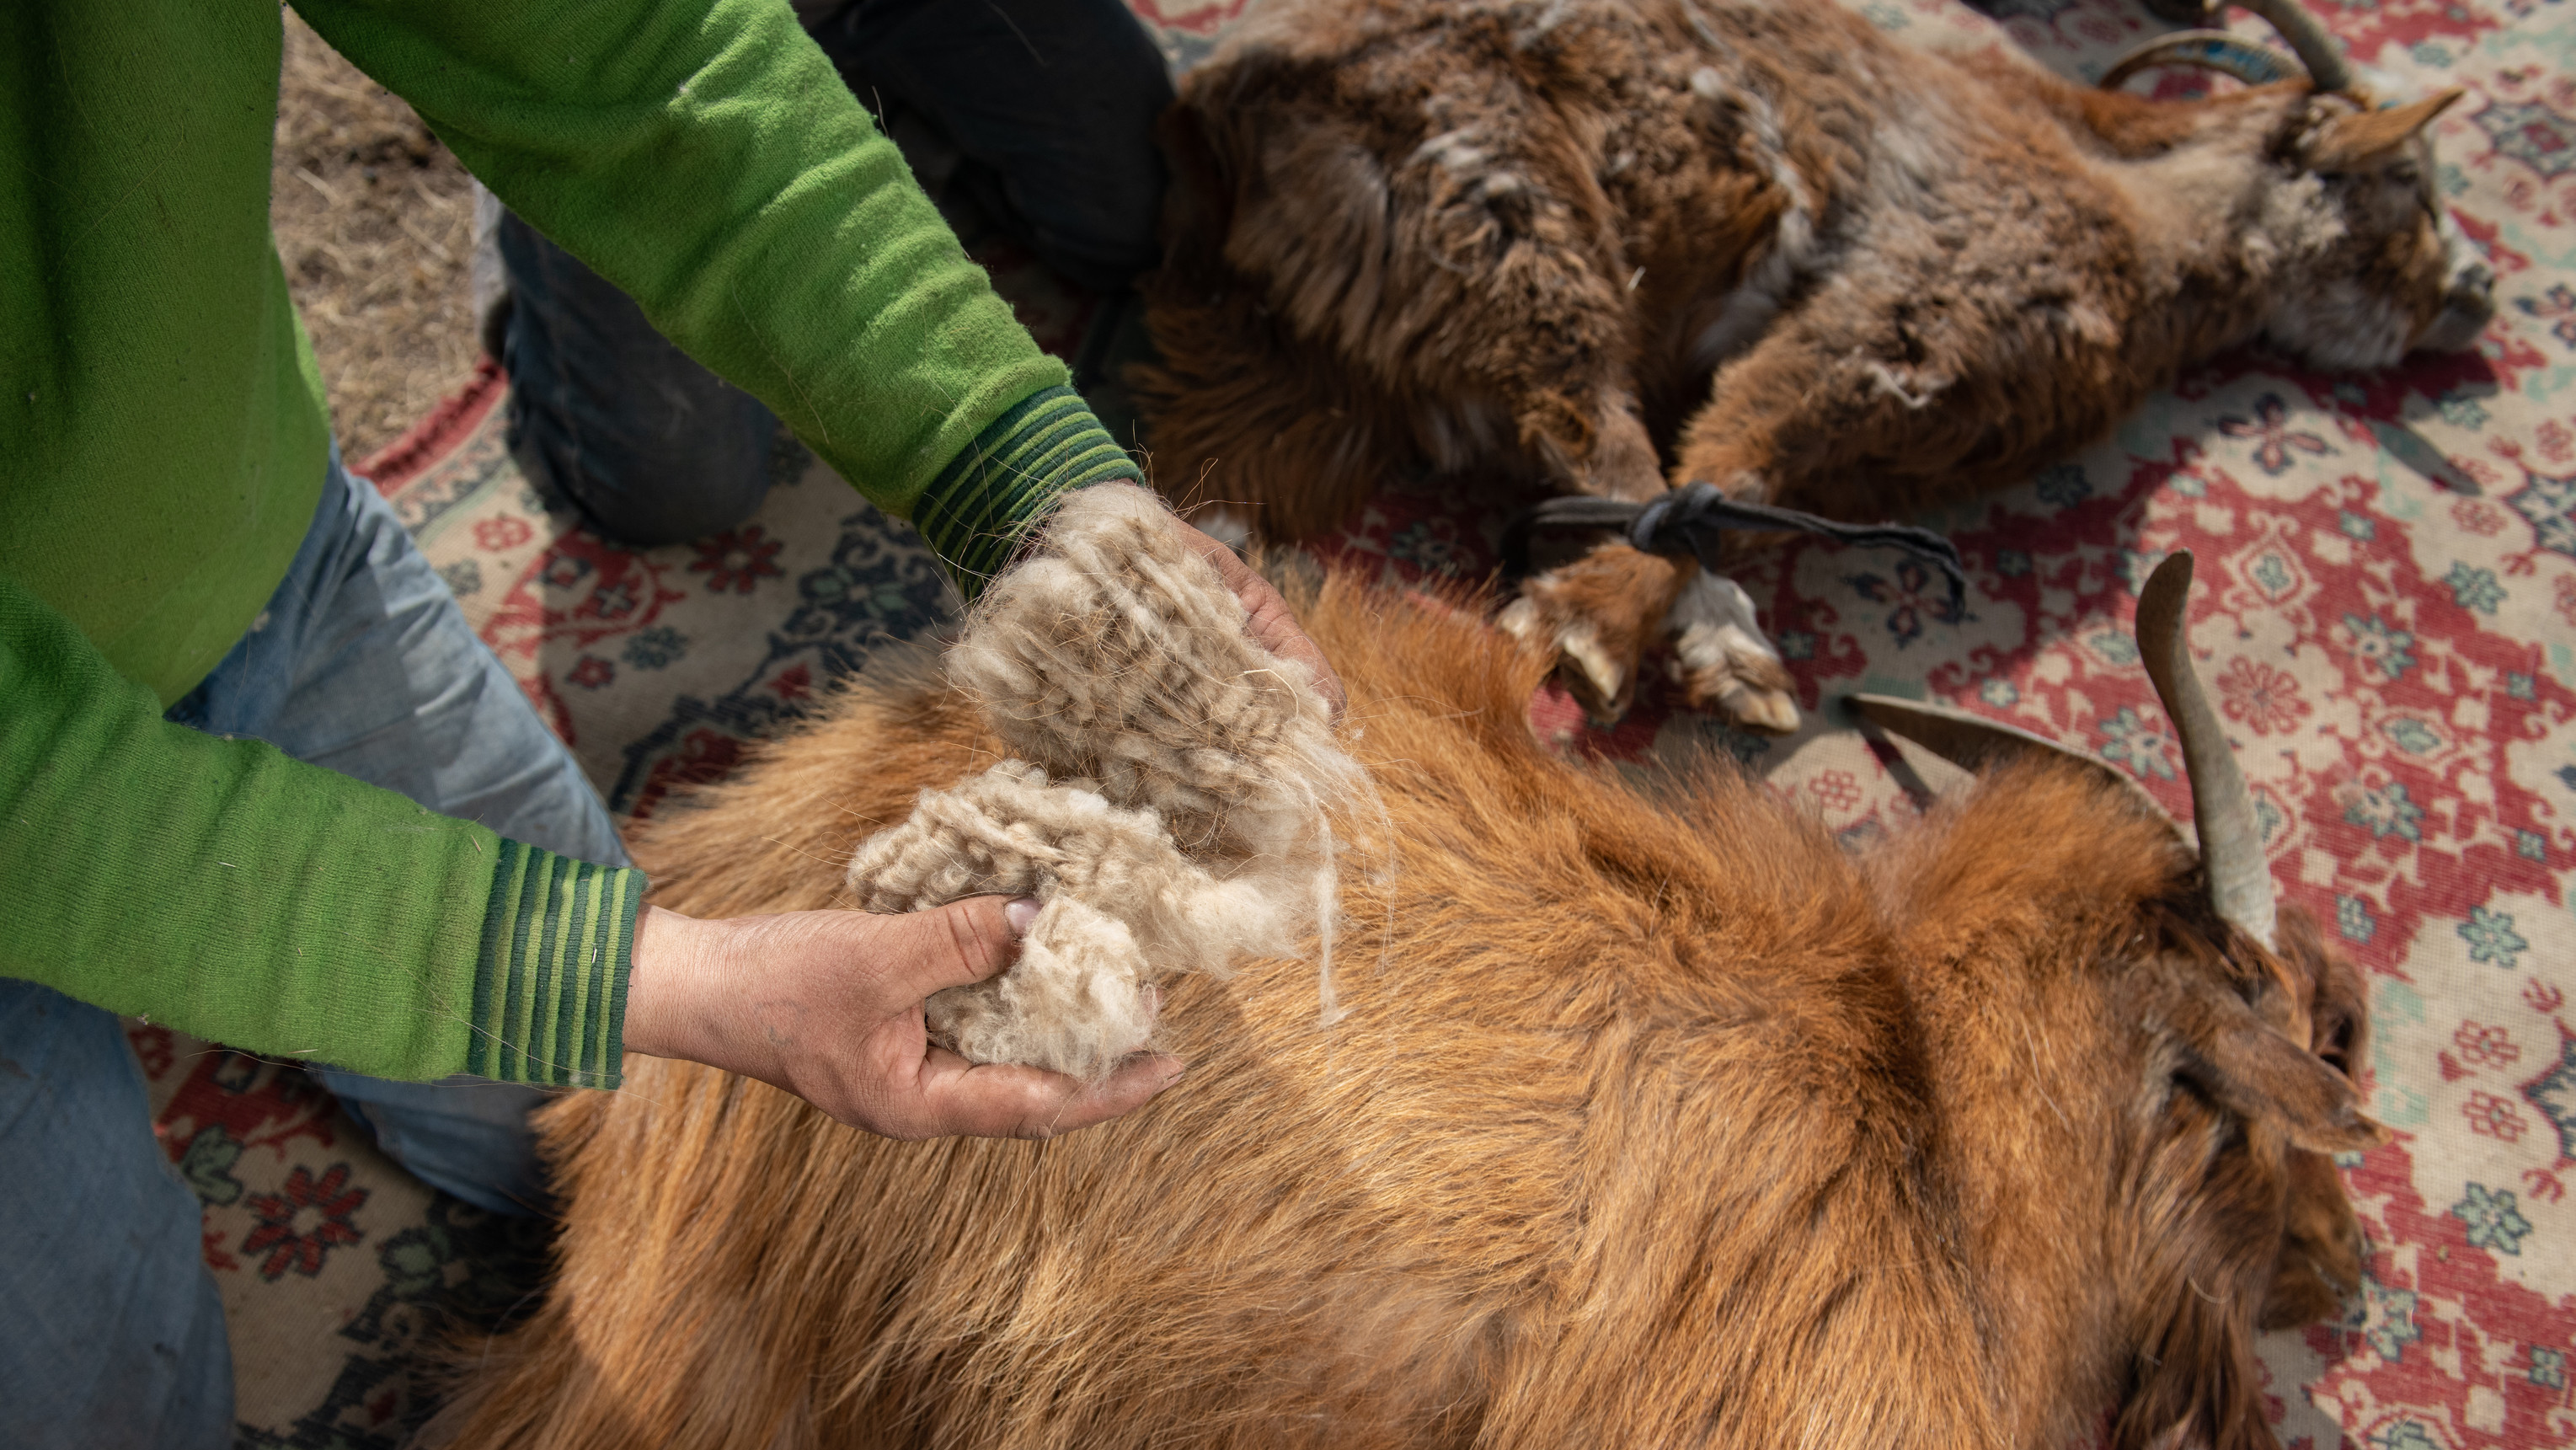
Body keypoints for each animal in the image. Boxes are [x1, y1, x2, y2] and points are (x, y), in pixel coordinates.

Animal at [1133, 0, 2496, 730]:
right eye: (2413, 191)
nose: (2476, 295)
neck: (2147, 215)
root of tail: (1229, 99)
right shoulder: (1912, 308)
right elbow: (1734, 447)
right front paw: (1612, 631)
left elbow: (1742, 475)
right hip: (1510, 217)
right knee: (1594, 420)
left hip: (1309, 363)